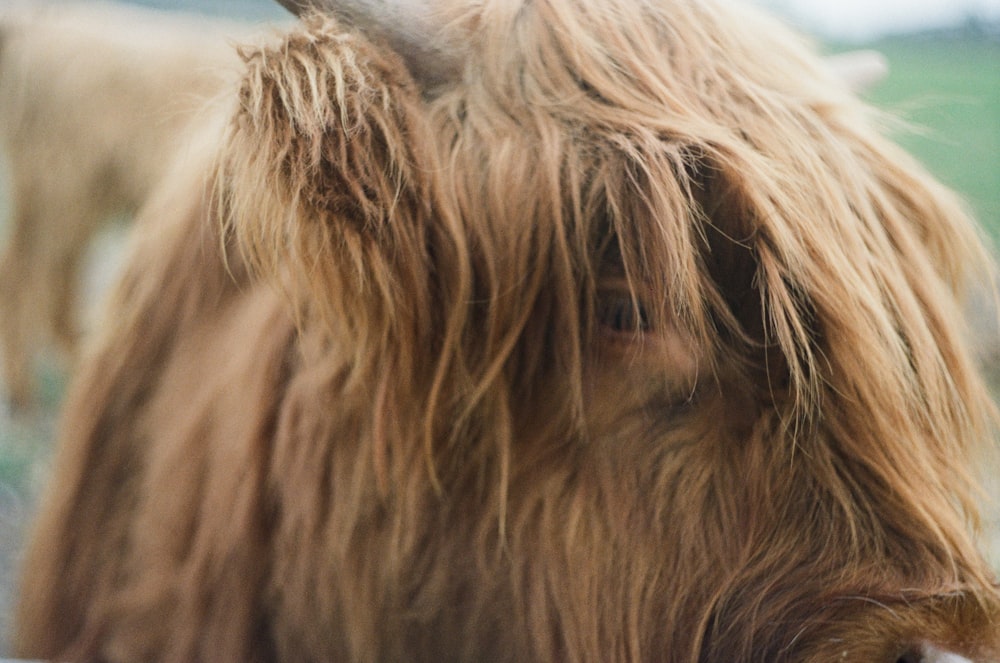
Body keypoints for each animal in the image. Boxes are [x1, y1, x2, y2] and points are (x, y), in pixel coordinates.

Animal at [0, 2, 248, 410]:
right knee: (25, 271)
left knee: (57, 271)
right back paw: (22, 387)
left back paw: (78, 357)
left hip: (78, 192)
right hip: (60, 182)